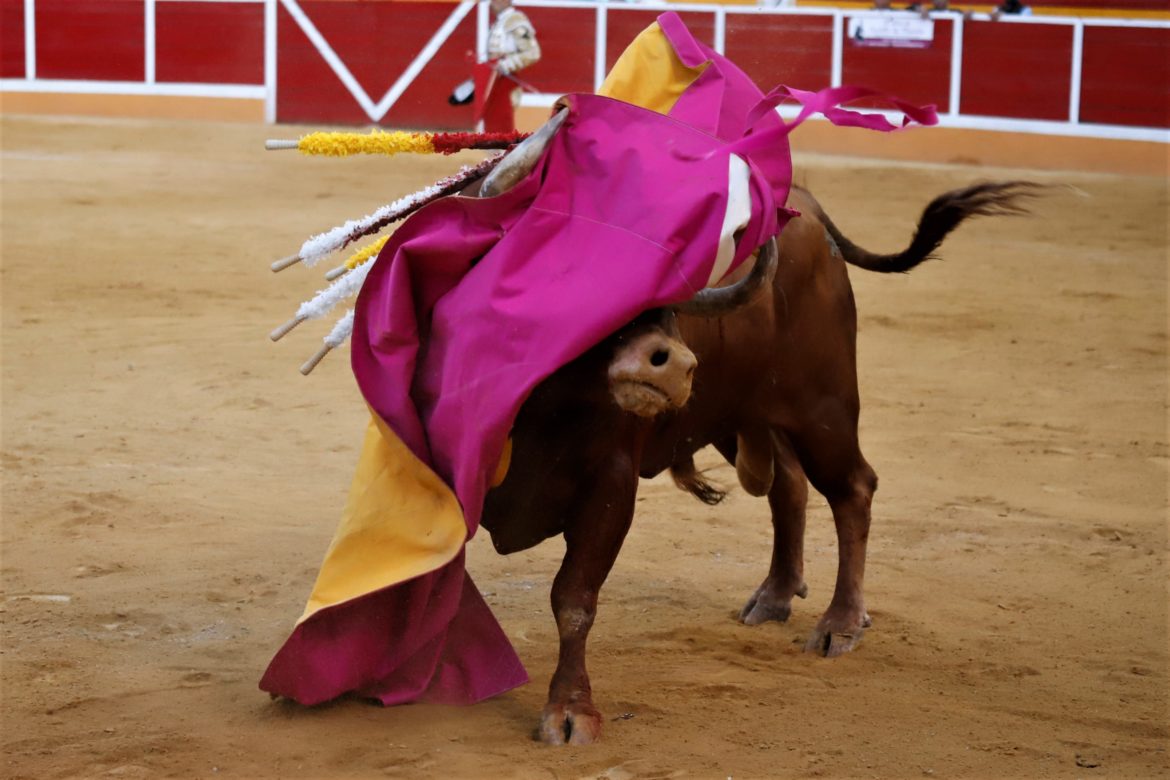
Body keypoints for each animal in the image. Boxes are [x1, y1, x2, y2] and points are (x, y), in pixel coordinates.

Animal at [477, 166, 1034, 743]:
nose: (672, 365)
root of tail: (808, 204)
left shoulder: (611, 483)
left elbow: (574, 598)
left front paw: (570, 711)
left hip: (823, 407)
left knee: (852, 488)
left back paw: (841, 622)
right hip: (740, 411)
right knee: (790, 485)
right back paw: (777, 594)